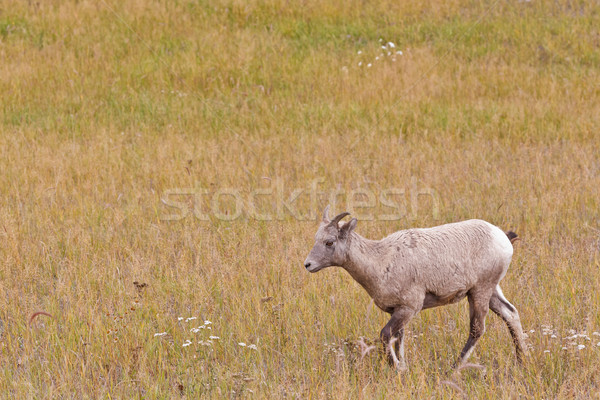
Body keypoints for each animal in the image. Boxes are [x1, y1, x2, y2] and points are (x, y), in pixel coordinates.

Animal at [304, 208, 524, 370]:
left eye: (329, 242)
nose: (308, 264)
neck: (382, 261)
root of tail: (502, 238)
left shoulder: (409, 308)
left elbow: (385, 335)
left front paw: (397, 367)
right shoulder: (397, 311)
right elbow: (398, 340)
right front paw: (403, 366)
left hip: (480, 291)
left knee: (477, 329)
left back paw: (453, 368)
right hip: (491, 291)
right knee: (511, 314)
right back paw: (521, 360)